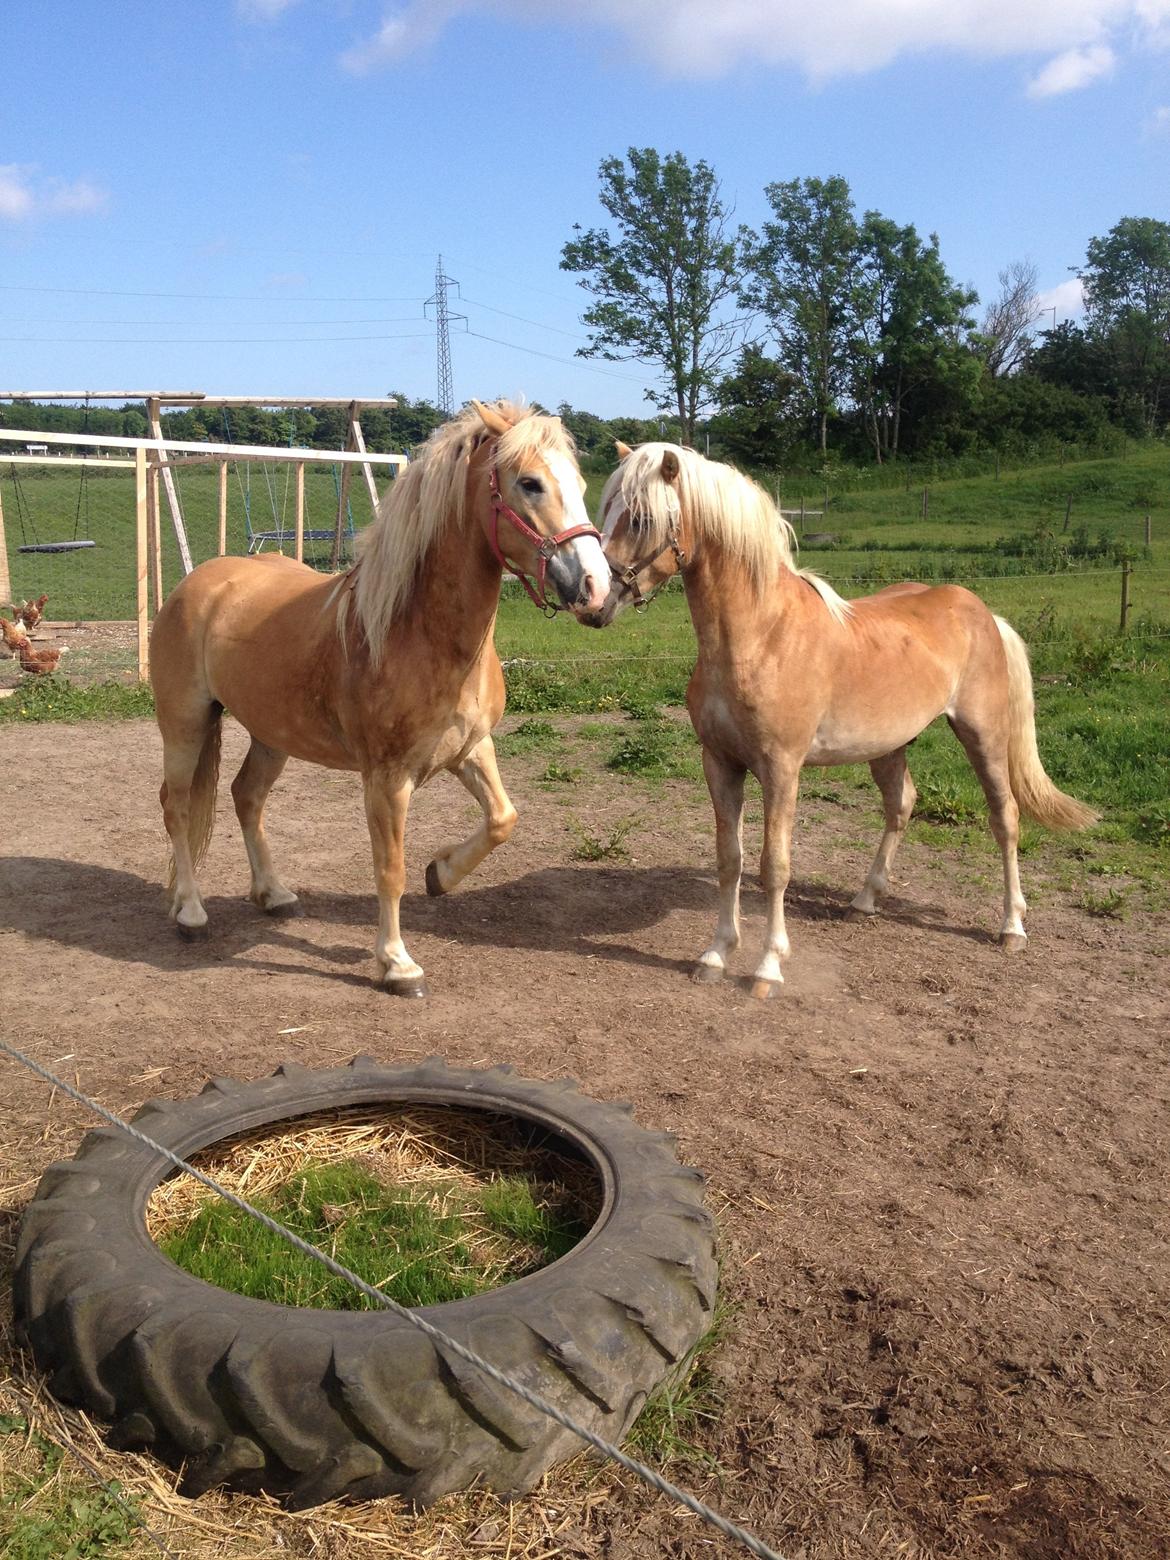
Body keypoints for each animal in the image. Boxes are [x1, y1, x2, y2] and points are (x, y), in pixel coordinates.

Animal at [149, 396, 608, 992]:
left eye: (580, 482)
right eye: (529, 483)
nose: (598, 590)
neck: (414, 630)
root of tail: (199, 583)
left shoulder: (470, 750)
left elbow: (502, 820)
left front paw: (442, 873)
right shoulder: (388, 779)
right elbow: (390, 869)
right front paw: (396, 963)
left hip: (272, 734)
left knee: (246, 797)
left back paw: (274, 895)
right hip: (185, 724)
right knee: (178, 807)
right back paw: (190, 911)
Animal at [586, 439, 1098, 998]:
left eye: (640, 518)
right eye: (605, 509)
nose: (593, 601)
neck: (761, 637)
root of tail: (982, 612)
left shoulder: (782, 769)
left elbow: (774, 866)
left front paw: (767, 968)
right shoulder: (719, 762)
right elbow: (729, 860)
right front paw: (716, 955)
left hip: (982, 735)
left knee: (1005, 818)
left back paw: (1011, 928)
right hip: (890, 747)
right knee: (902, 805)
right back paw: (864, 901)